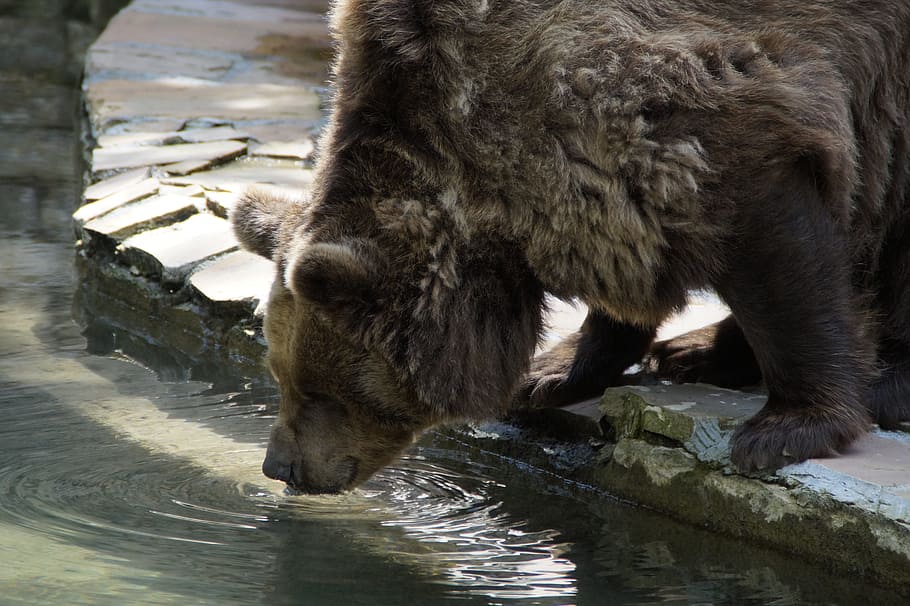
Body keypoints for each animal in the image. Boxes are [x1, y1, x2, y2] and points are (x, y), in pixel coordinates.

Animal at [232, 0, 910, 494]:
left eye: (319, 390)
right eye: (279, 375)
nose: (280, 467)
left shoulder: (716, 112)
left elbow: (779, 255)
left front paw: (788, 427)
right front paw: (551, 372)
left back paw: (882, 386)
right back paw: (690, 351)